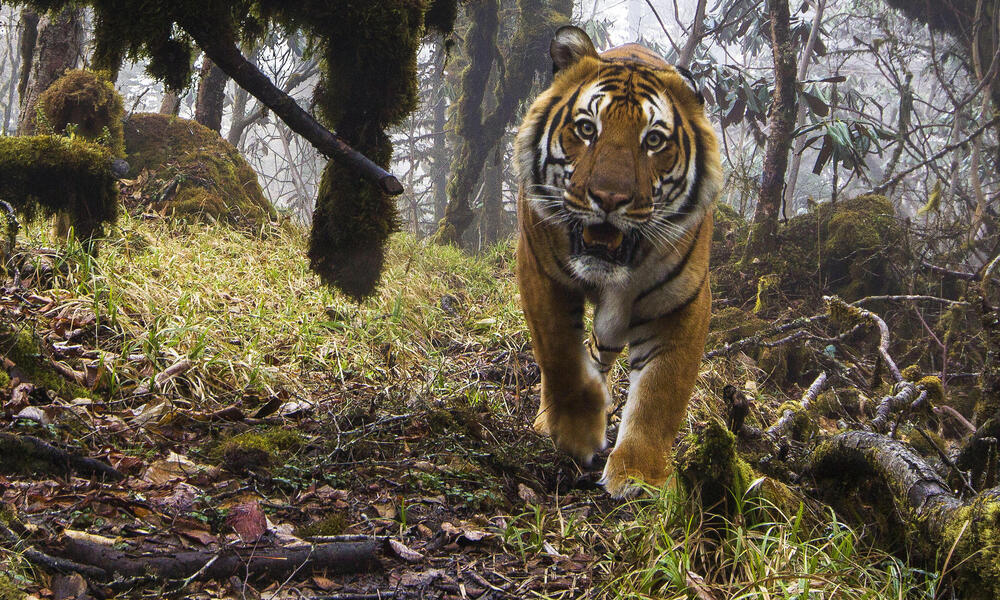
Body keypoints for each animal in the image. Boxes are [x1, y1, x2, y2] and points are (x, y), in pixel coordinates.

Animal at [516, 25, 720, 496]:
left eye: (654, 140)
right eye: (586, 129)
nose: (609, 198)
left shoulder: (682, 302)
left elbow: (662, 392)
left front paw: (639, 475)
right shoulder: (539, 270)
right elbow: (560, 355)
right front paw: (577, 432)